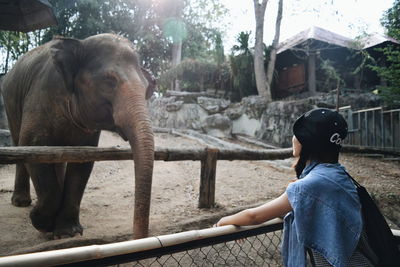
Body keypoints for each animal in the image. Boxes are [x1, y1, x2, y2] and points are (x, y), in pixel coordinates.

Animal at [0, 33, 155, 241]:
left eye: (147, 88)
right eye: (109, 81)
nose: (138, 237)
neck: (79, 43)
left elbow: (83, 161)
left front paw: (67, 232)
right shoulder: (40, 95)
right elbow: (32, 145)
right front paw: (42, 222)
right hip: (10, 104)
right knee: (19, 144)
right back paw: (21, 202)